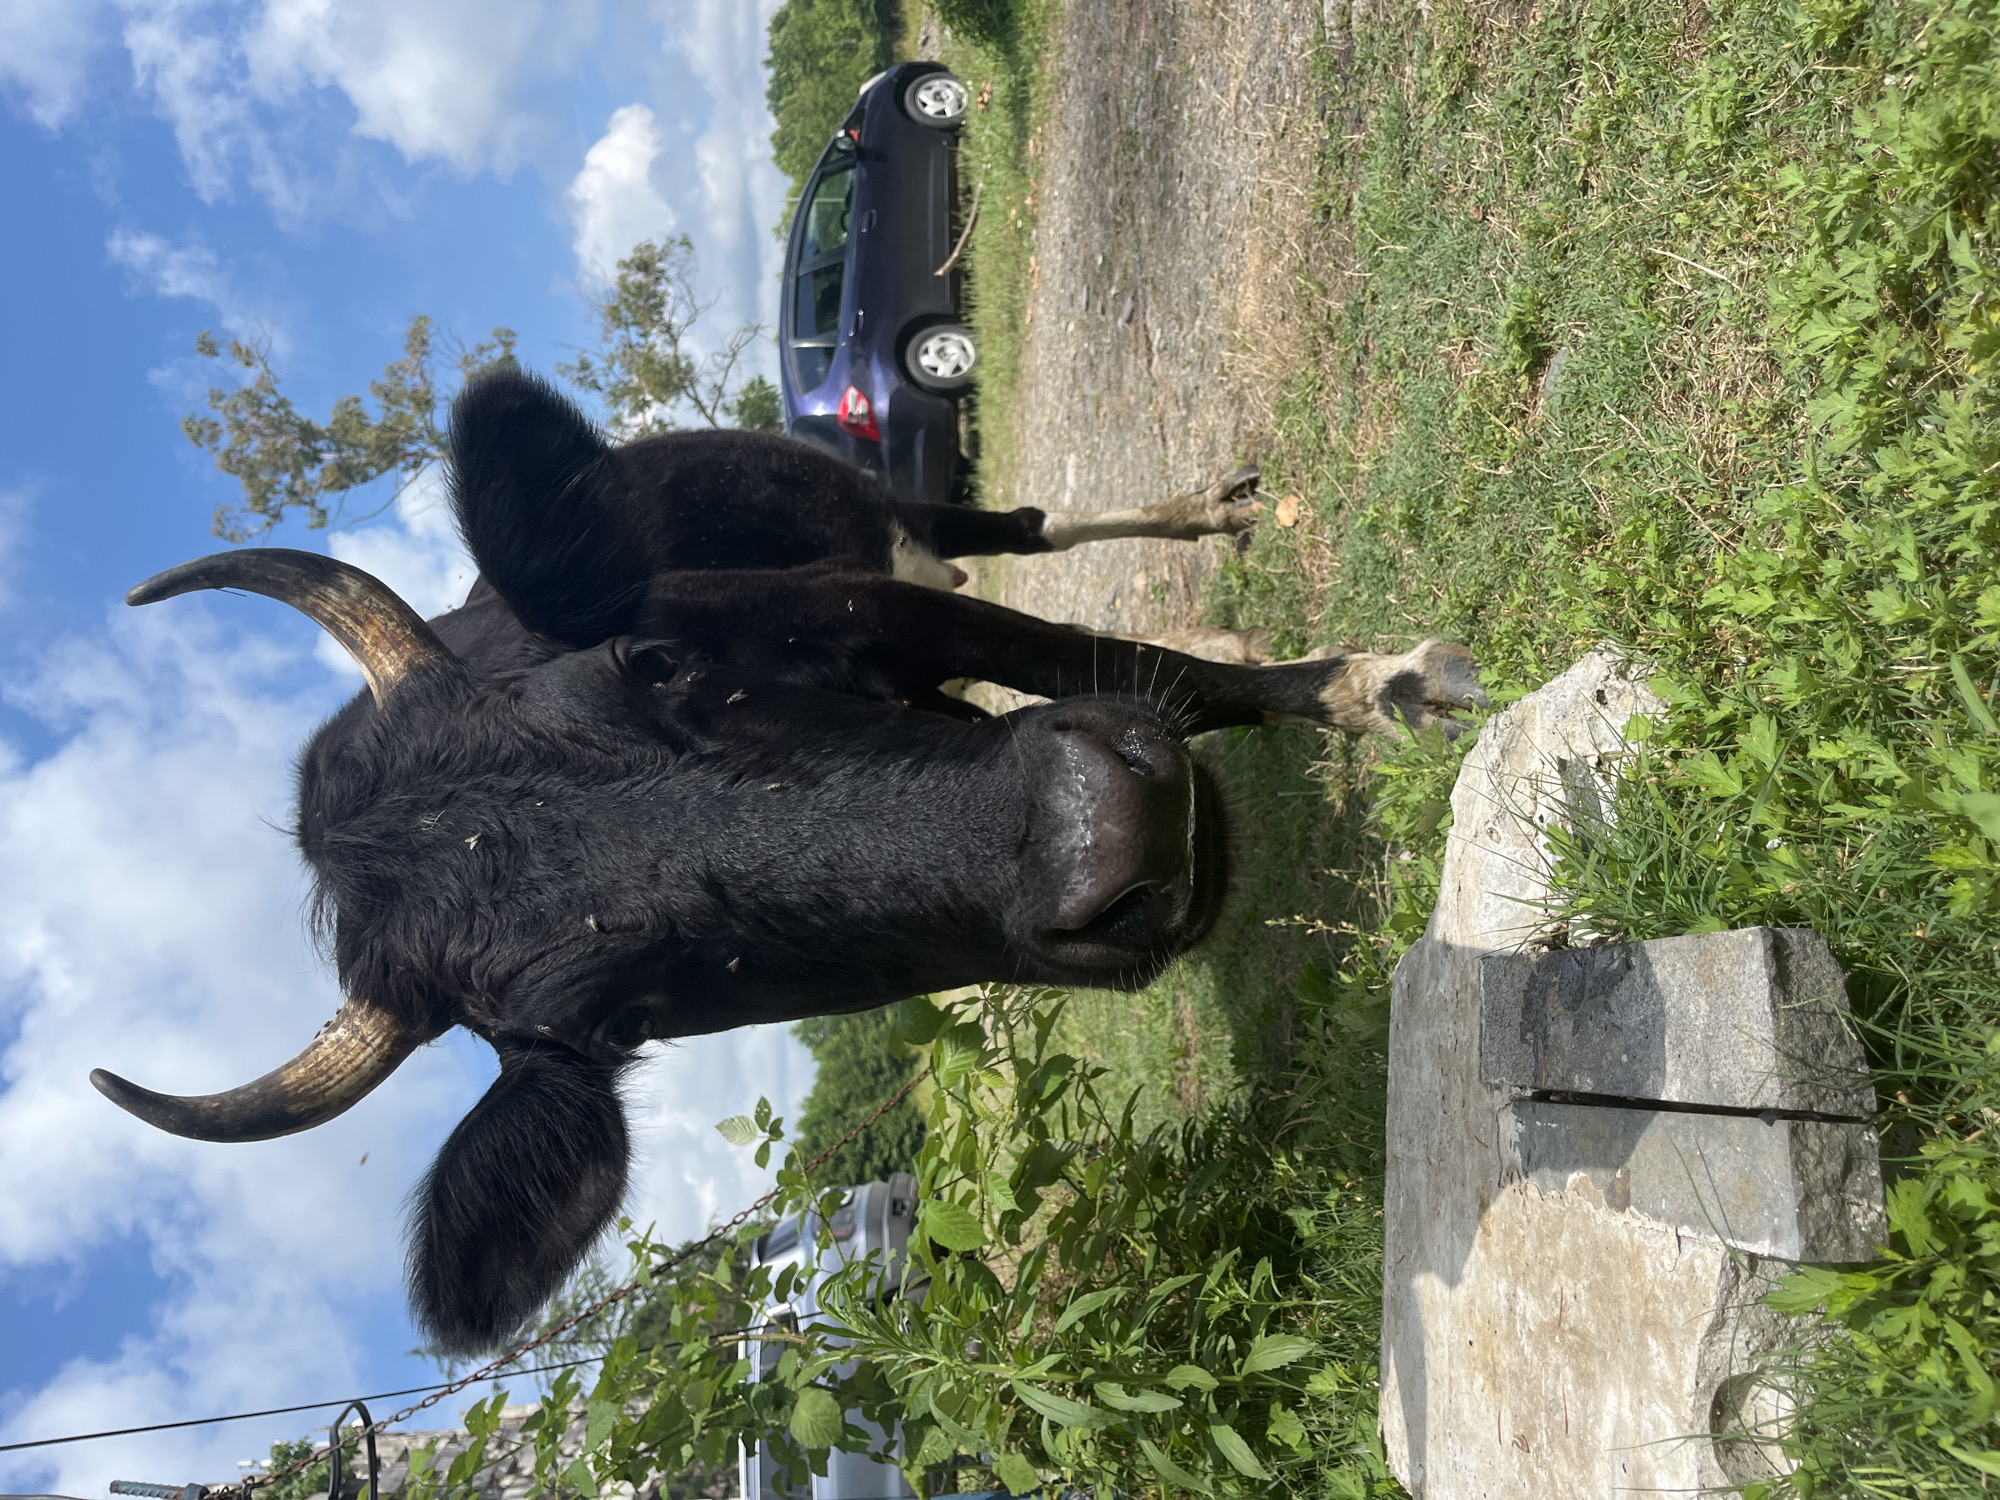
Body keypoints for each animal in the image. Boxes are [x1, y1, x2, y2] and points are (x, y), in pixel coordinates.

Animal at [91, 370, 1481, 1352]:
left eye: (653, 662)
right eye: (623, 1015)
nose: (1106, 830)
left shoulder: (883, 609)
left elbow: (1123, 661)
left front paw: (1371, 684)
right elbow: (1126, 674)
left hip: (893, 522)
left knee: (1015, 526)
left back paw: (1205, 516)